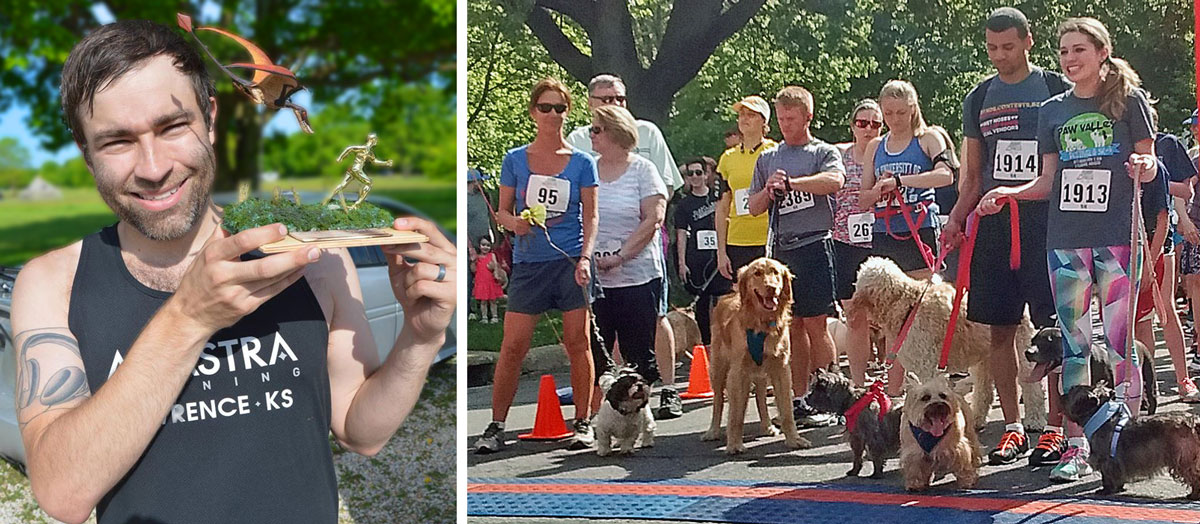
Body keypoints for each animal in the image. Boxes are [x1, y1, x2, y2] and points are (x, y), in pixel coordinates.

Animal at [1027, 326, 1156, 412]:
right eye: (1032, 341)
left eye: (1049, 342)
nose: (1028, 352)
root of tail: (1137, 342)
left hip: (1149, 378)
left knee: (1151, 396)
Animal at [1060, 381, 1200, 496]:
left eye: (1071, 391)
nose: (1060, 396)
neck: (1101, 418)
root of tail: (1193, 421)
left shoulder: (1106, 461)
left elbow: (1107, 477)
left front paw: (1106, 490)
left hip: (1183, 460)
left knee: (1194, 475)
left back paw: (1194, 495)